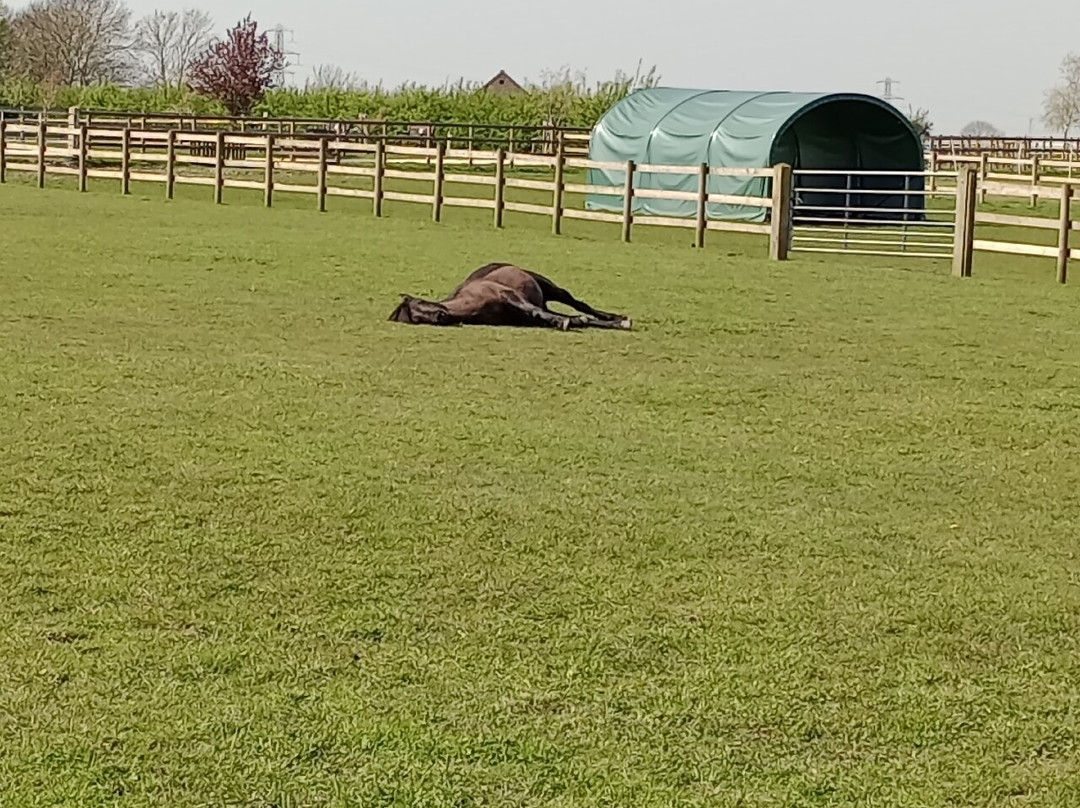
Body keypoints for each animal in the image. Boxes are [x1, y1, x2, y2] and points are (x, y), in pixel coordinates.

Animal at [388, 263, 633, 331]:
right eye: (416, 318)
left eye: (420, 302)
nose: (439, 316)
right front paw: (568, 322)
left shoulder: (510, 296)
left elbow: (536, 311)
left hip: (552, 288)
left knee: (581, 305)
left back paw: (618, 319)